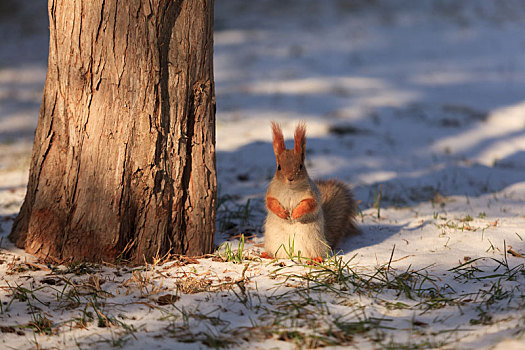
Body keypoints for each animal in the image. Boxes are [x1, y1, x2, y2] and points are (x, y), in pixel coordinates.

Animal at [264, 121, 358, 258]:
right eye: (279, 167)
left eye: (301, 166)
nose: (290, 178)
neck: (291, 190)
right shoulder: (271, 191)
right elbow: (270, 202)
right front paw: (282, 213)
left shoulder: (312, 194)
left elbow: (309, 204)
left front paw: (296, 213)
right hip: (274, 241)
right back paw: (268, 255)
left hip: (312, 241)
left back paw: (316, 258)